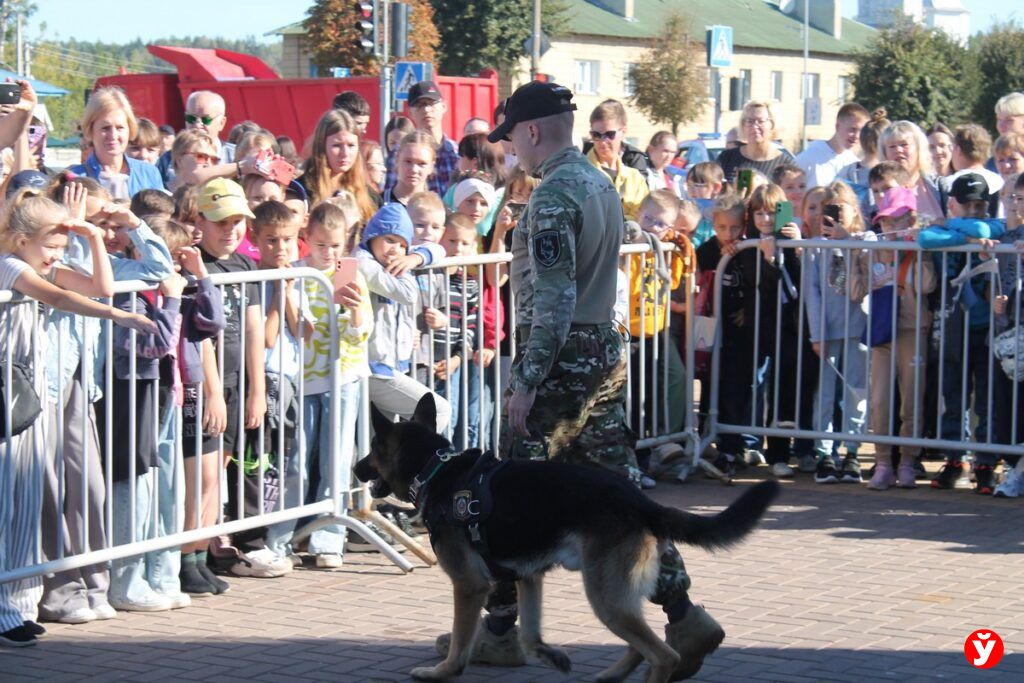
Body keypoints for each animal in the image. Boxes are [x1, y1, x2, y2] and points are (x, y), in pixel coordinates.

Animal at [356, 395, 778, 683]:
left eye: (371, 451)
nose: (355, 469)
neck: (433, 468)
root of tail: (639, 500)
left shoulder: (469, 585)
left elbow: (462, 640)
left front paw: (442, 671)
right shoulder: (528, 577)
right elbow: (529, 634)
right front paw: (549, 654)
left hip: (605, 597)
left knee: (663, 656)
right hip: (616, 595)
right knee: (640, 643)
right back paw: (613, 674)